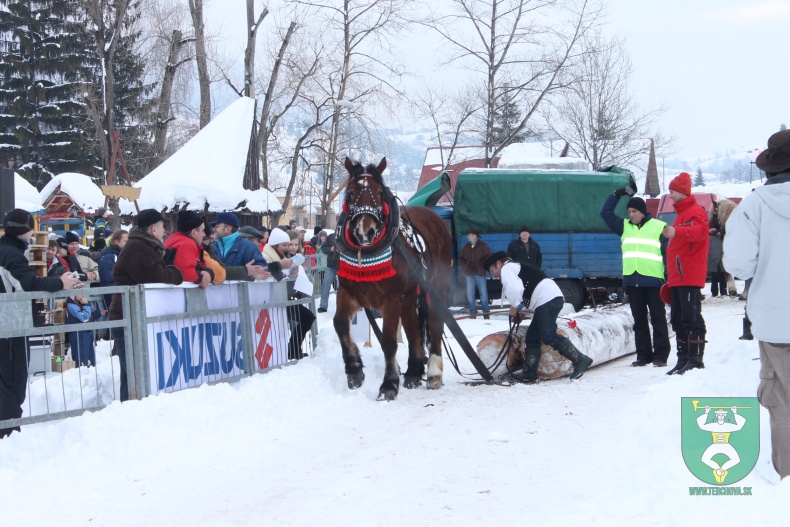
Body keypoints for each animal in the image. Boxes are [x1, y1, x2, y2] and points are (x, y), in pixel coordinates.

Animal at [334, 157, 454, 400]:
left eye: (380, 193)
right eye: (350, 193)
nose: (365, 231)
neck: (366, 254)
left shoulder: (390, 300)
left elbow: (389, 341)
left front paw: (388, 384)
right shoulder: (348, 293)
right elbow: (340, 323)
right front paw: (354, 370)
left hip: (436, 287)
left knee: (435, 322)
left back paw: (433, 373)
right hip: (408, 297)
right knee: (412, 329)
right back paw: (414, 373)